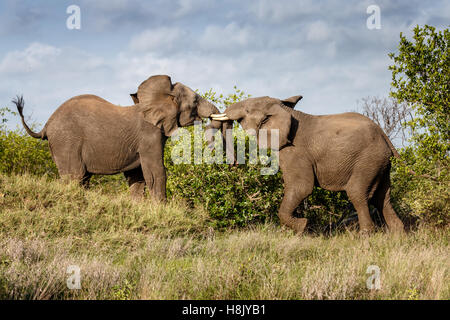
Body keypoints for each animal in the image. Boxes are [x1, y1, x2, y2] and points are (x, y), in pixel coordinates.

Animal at [14, 75, 223, 200]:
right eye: (195, 101)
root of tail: (46, 126)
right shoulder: (149, 135)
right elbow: (155, 172)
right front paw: (160, 209)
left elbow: (137, 177)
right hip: (66, 141)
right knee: (75, 176)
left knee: (82, 178)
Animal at [213, 96, 406, 234]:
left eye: (247, 110)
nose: (233, 164)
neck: (283, 109)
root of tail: (384, 136)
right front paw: (303, 226)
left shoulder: (294, 151)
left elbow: (302, 187)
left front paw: (303, 226)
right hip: (380, 163)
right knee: (382, 198)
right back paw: (398, 237)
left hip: (368, 159)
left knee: (357, 193)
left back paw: (366, 237)